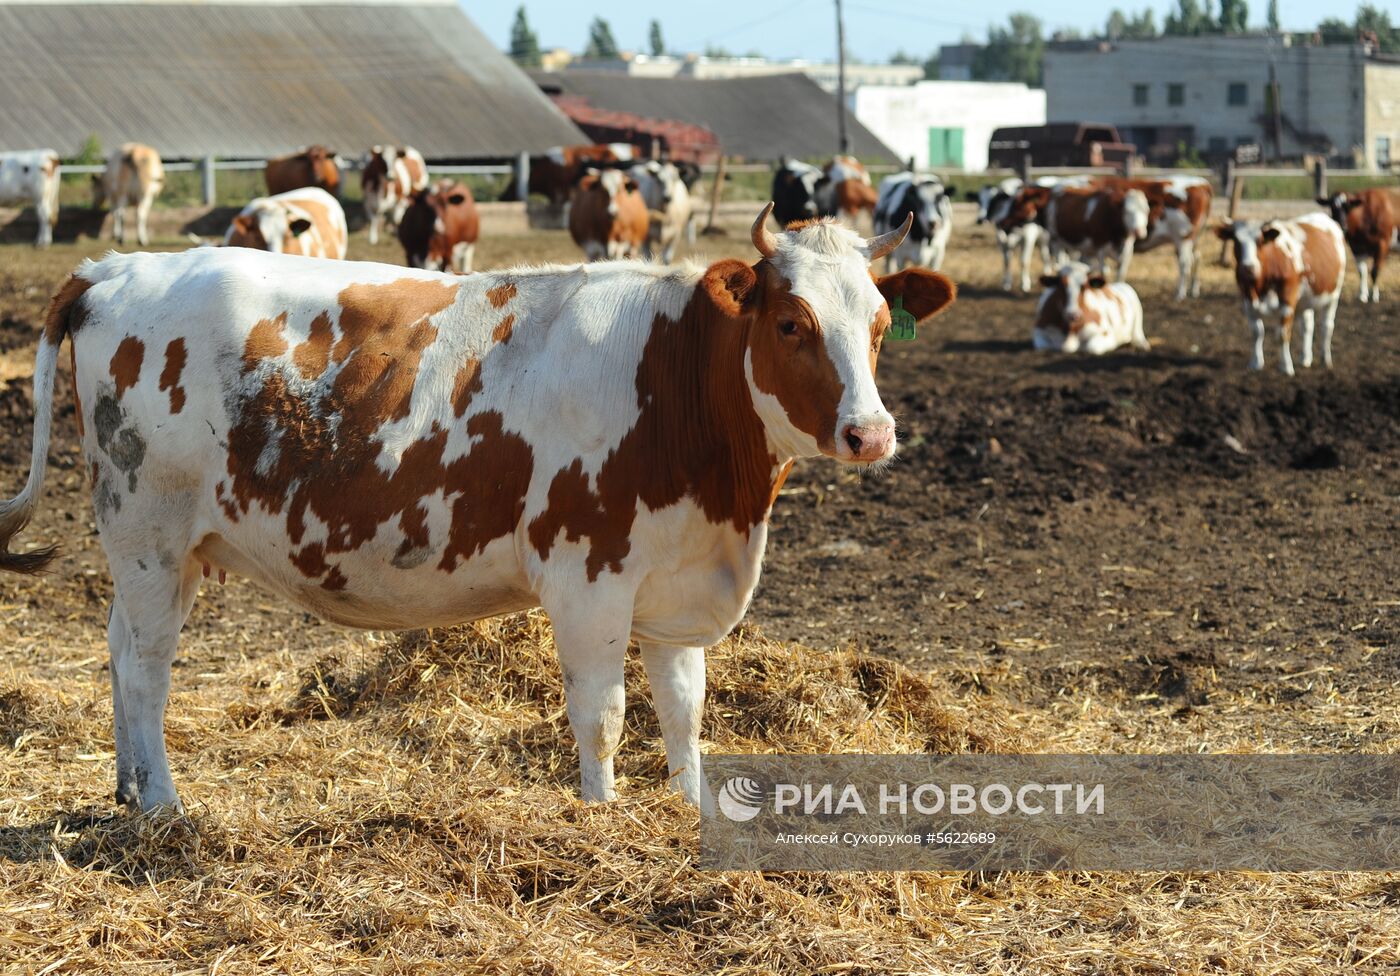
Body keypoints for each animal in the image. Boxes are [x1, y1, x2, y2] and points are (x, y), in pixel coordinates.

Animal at [0, 207, 952, 812]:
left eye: (879, 325)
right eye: (791, 323)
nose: (871, 433)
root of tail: (115, 267)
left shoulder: (675, 583)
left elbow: (685, 712)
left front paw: (691, 812)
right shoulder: (587, 576)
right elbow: (602, 717)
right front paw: (600, 818)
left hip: (170, 548)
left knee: (119, 647)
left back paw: (127, 788)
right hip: (149, 531)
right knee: (148, 666)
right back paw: (164, 804)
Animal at [1215, 214, 1344, 372]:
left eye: (1260, 241)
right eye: (1236, 241)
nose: (1248, 268)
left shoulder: (1287, 301)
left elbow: (1282, 334)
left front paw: (1286, 366)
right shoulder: (1248, 301)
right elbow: (1256, 332)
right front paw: (1256, 363)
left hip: (1334, 295)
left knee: (1327, 326)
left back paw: (1325, 360)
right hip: (1305, 299)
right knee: (1307, 326)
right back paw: (1305, 358)